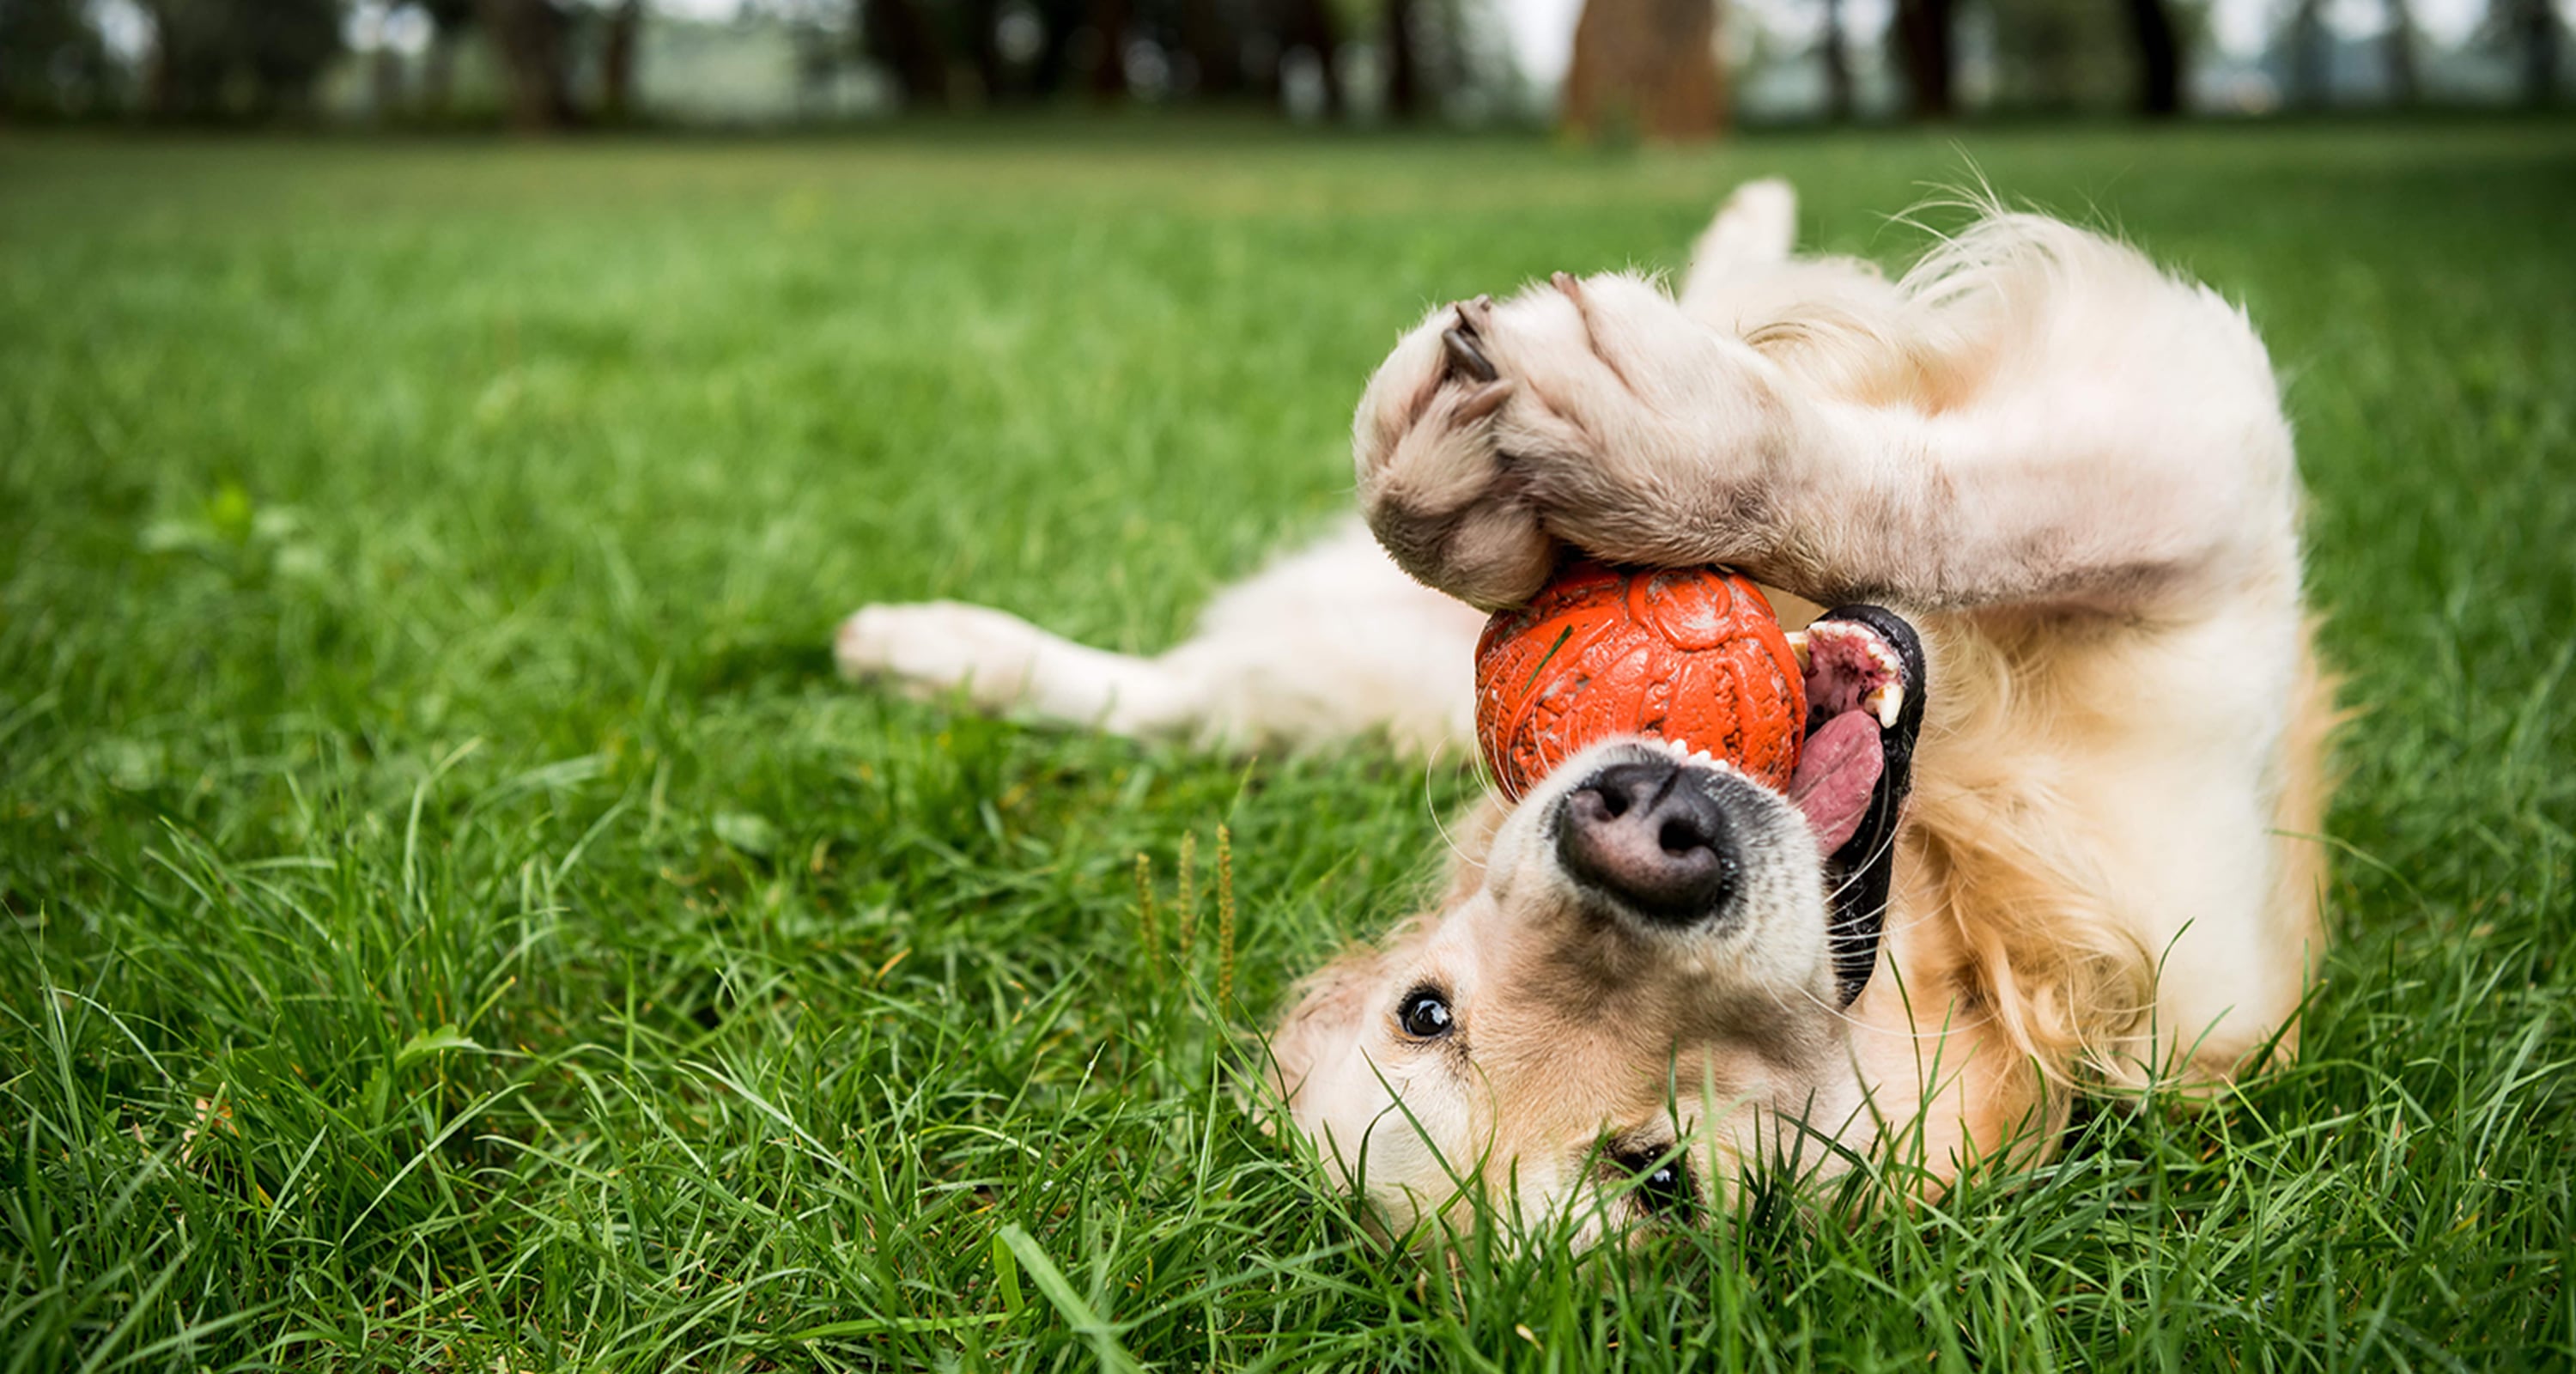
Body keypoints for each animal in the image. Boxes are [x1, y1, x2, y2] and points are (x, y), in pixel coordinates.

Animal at [840, 181, 2339, 1242]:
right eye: (1431, 1011)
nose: (1643, 831)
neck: (1956, 900)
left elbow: (1949, 496)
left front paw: (1621, 448)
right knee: (1185, 697)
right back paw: (926, 652)